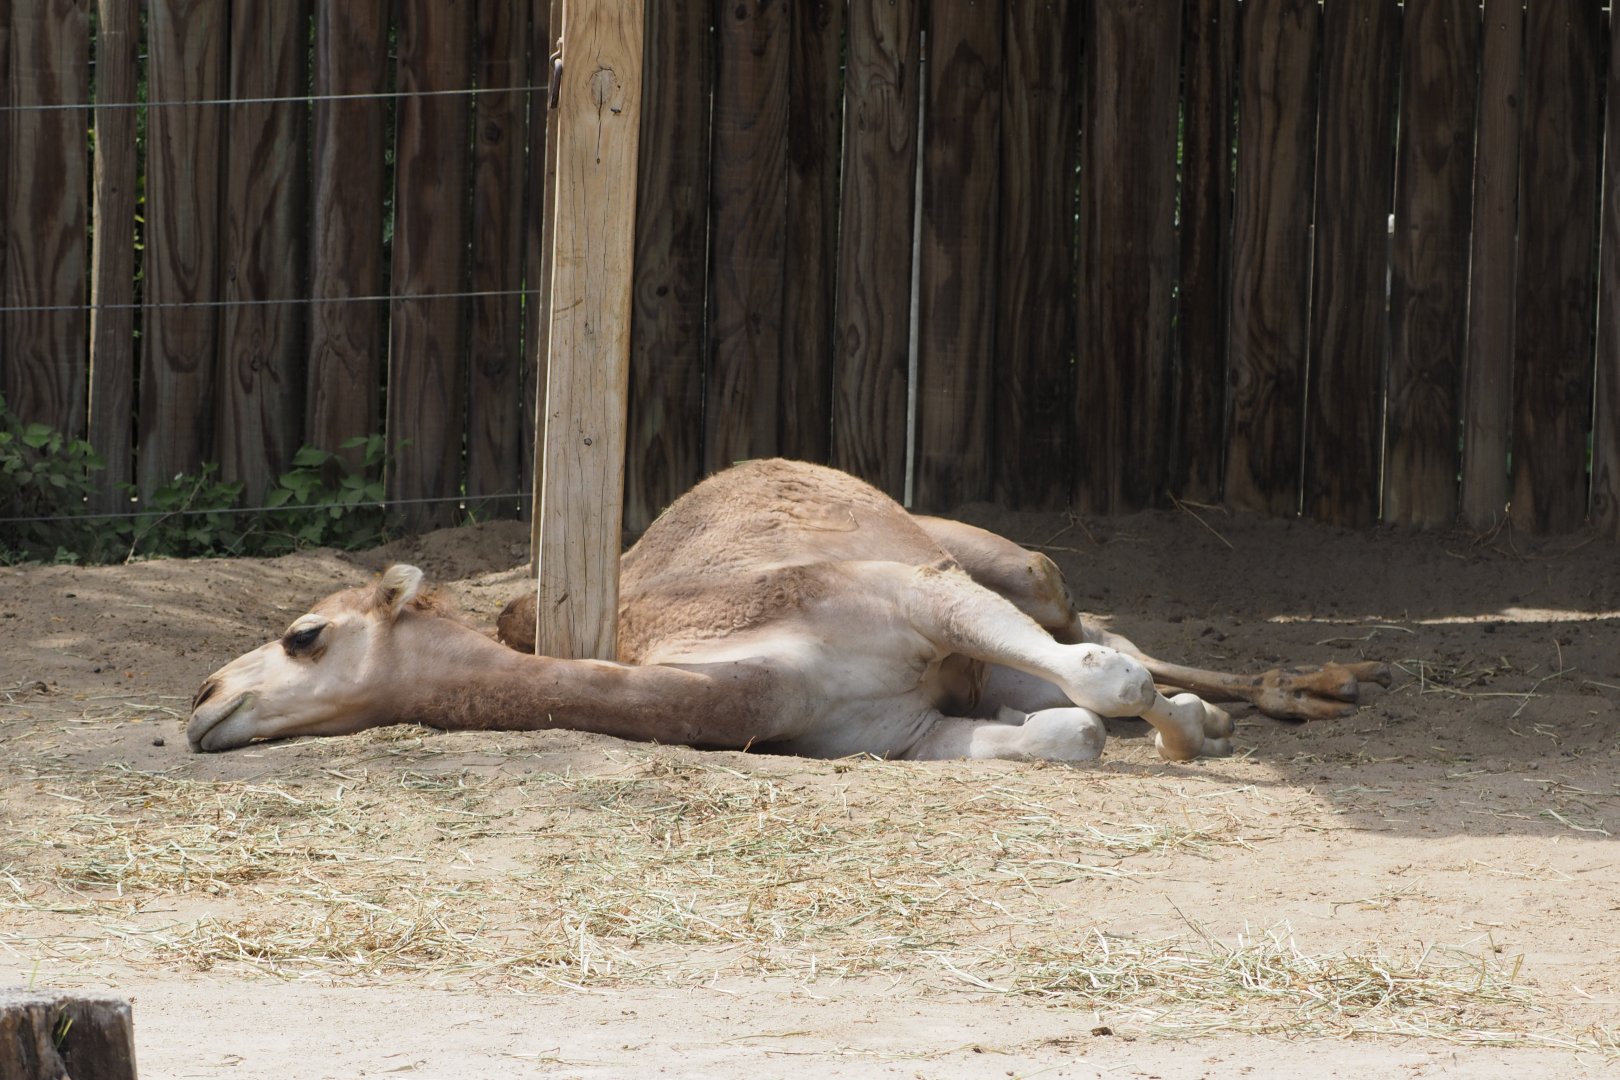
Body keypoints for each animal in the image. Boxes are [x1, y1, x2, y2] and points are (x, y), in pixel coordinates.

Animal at [188, 459, 1389, 761]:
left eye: (303, 635)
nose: (202, 698)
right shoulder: (902, 729)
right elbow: (1074, 731)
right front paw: (1176, 733)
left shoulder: (918, 596)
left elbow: (1108, 682)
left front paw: (1189, 732)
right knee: (1091, 650)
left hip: (1008, 564)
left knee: (1091, 629)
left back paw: (1311, 687)